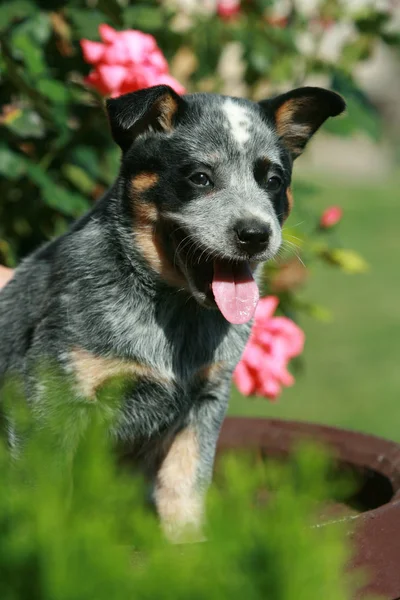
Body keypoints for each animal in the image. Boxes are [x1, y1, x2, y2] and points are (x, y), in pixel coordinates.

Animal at [0, 84, 344, 540]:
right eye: (199, 177)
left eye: (273, 181)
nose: (255, 234)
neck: (174, 312)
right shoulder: (53, 399)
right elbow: (49, 493)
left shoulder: (205, 402)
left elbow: (184, 485)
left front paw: (189, 547)